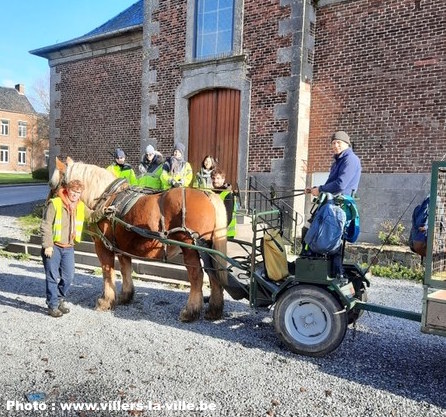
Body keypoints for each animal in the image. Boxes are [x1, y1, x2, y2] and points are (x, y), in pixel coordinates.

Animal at [50, 156, 228, 322]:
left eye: (53, 184)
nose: (49, 204)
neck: (106, 200)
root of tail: (207, 194)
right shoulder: (121, 246)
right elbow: (125, 270)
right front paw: (125, 296)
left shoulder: (102, 245)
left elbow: (108, 272)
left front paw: (106, 301)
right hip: (207, 248)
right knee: (213, 274)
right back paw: (214, 310)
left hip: (190, 246)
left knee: (197, 276)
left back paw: (190, 311)